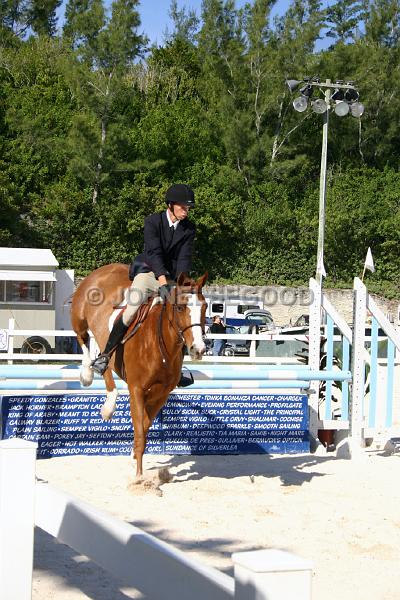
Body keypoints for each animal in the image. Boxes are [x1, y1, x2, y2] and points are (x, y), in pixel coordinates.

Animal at [71, 264, 208, 486]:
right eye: (180, 308)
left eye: (204, 308)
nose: (199, 349)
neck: (160, 345)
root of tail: (106, 268)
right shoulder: (136, 389)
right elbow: (140, 432)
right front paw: (138, 476)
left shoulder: (161, 394)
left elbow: (143, 426)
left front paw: (134, 456)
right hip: (79, 317)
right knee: (83, 339)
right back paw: (89, 377)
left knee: (103, 356)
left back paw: (108, 402)